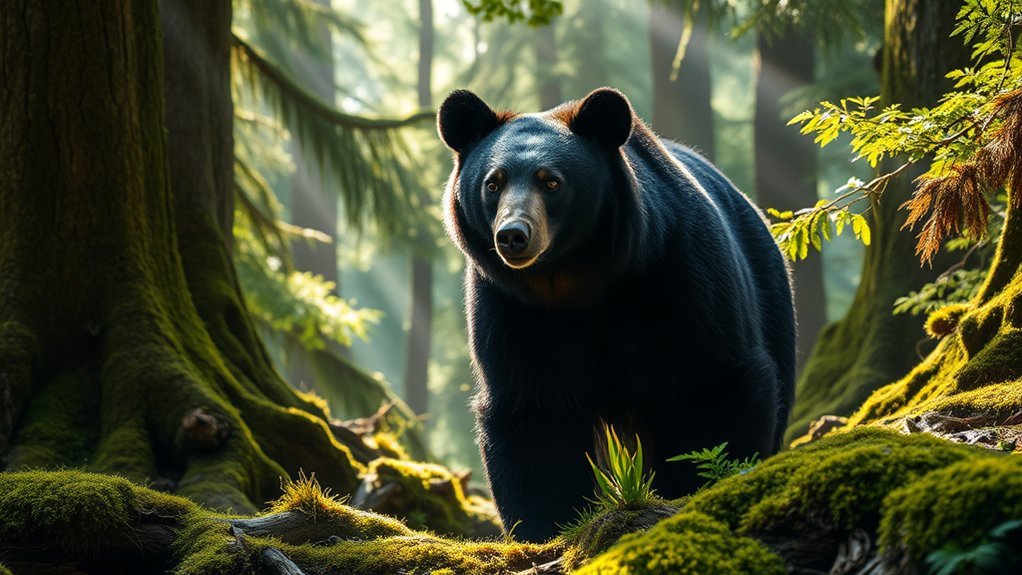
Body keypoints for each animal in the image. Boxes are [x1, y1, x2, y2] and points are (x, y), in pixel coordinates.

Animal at [437, 87, 795, 543]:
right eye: (493, 182)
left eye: (551, 181)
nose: (513, 235)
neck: (574, 278)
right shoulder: (512, 310)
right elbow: (531, 411)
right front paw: (547, 527)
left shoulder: (679, 271)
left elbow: (714, 383)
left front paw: (695, 487)